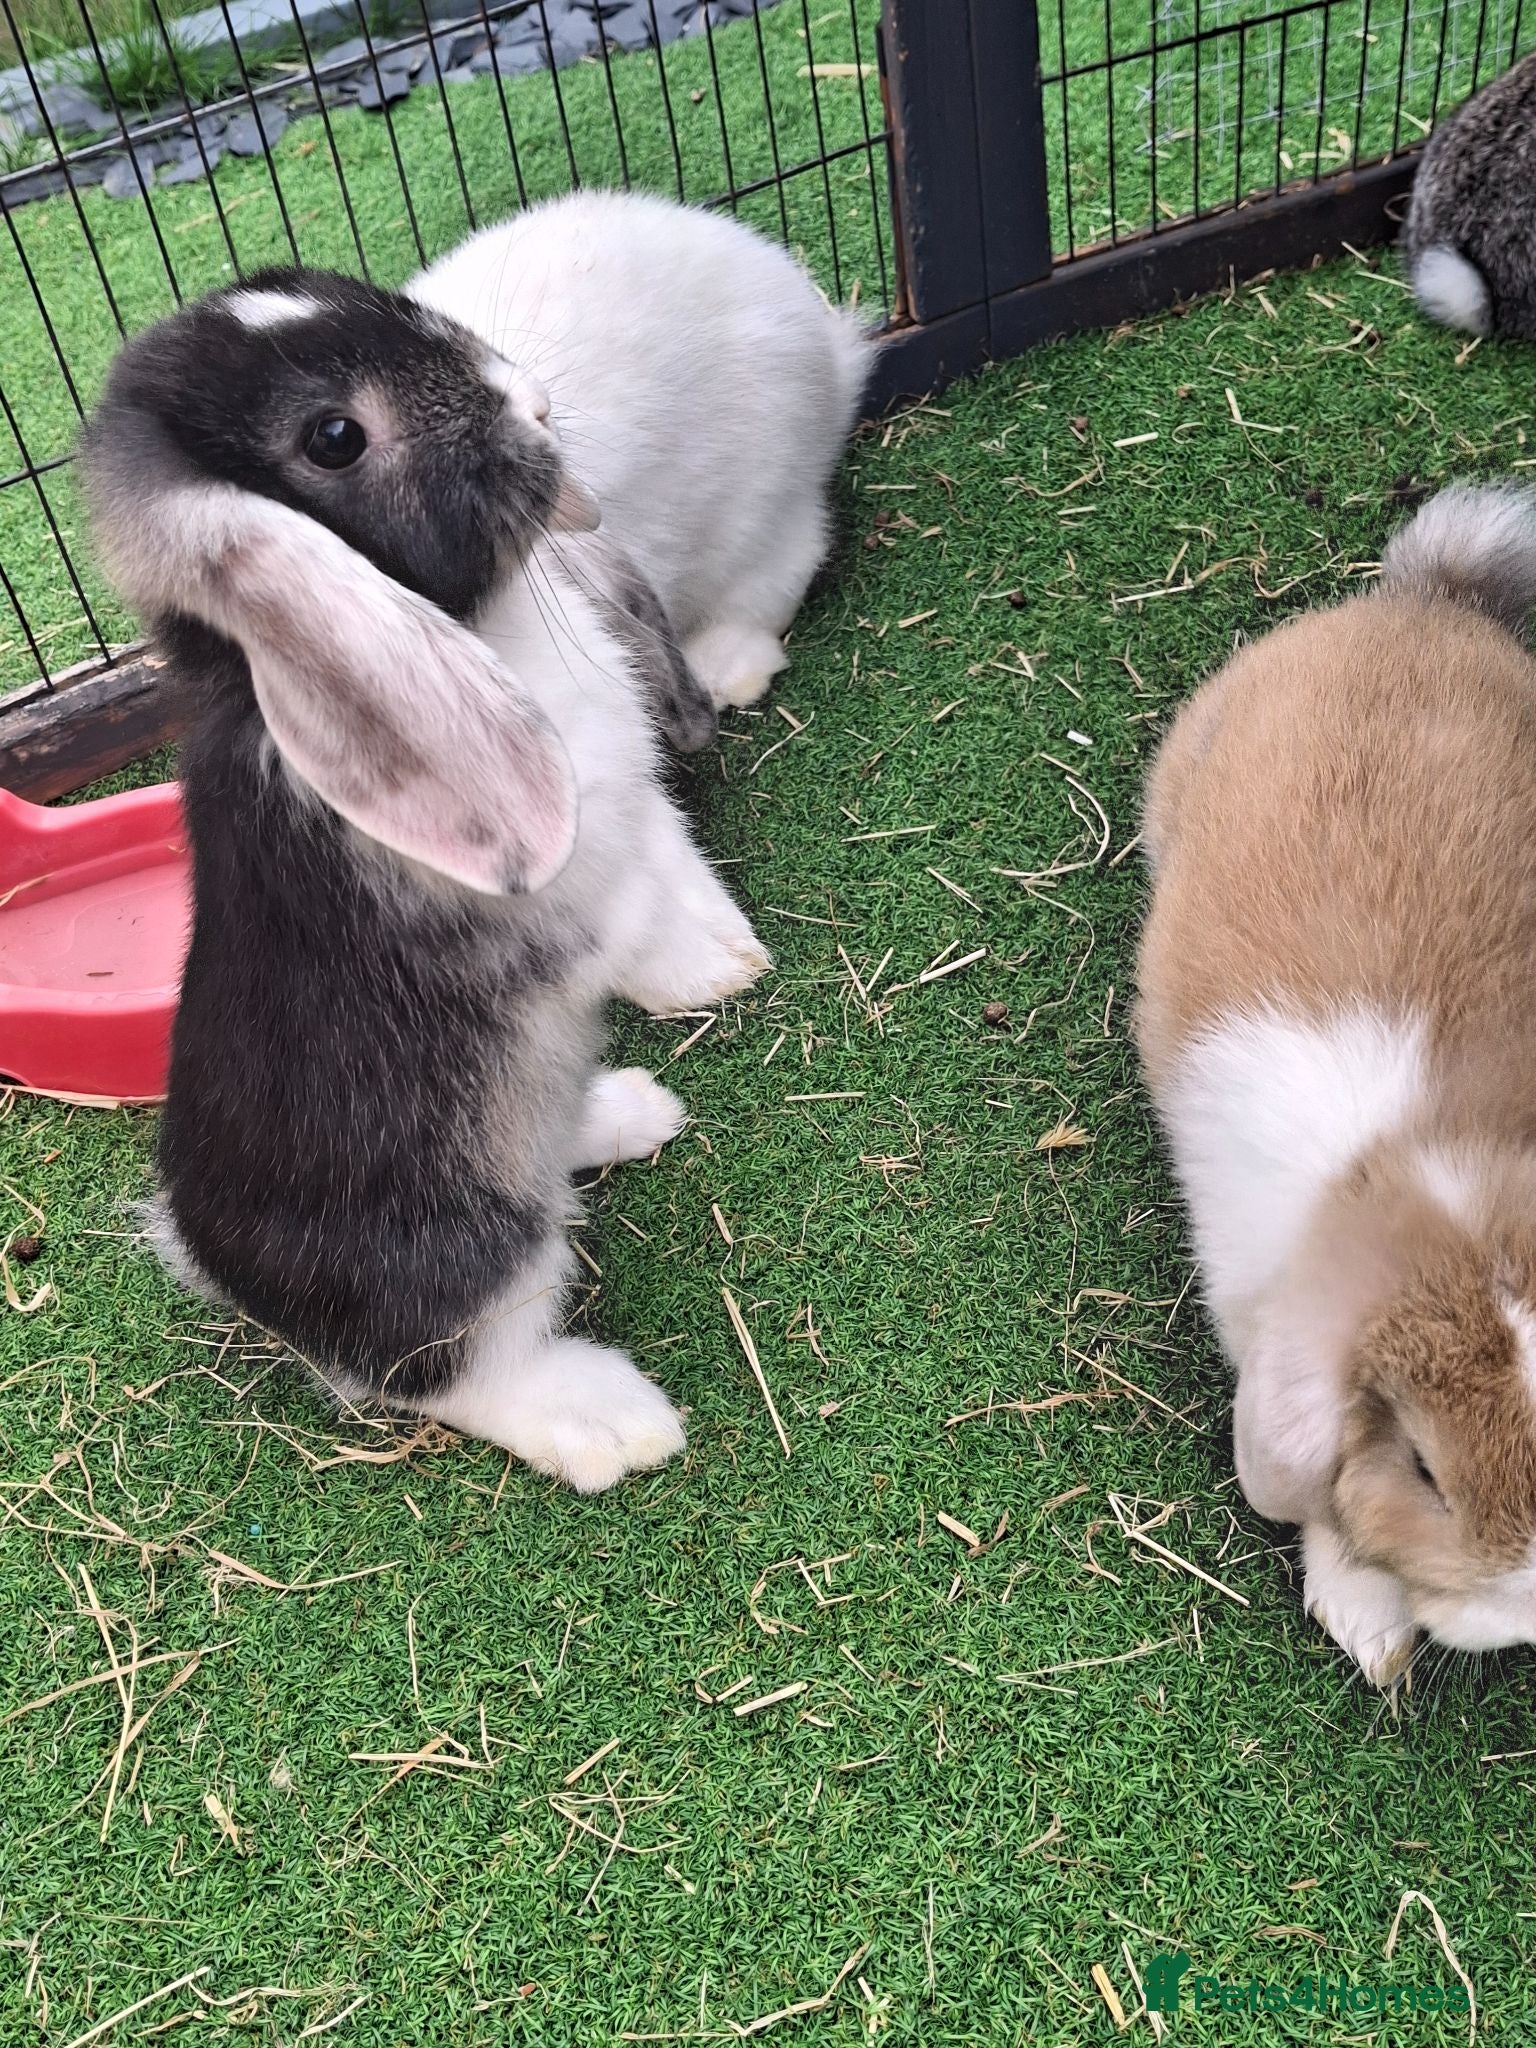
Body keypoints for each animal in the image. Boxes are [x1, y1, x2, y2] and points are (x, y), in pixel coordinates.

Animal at [79, 267, 771, 1490]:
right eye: (334, 438)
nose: (529, 405)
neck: (484, 627)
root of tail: (221, 1270)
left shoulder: (637, 804)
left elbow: (678, 857)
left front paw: (730, 957)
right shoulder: (579, 883)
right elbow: (640, 917)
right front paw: (718, 971)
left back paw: (629, 1111)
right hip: (478, 1252)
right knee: (451, 1371)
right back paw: (613, 1423)